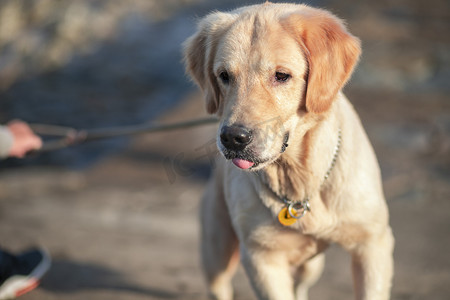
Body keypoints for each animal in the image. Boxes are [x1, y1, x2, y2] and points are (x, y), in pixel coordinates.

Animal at [183, 2, 394, 300]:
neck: (299, 182)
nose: (233, 138)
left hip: (311, 266)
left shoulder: (372, 244)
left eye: (281, 76)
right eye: (224, 76)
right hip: (216, 251)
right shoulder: (262, 258)